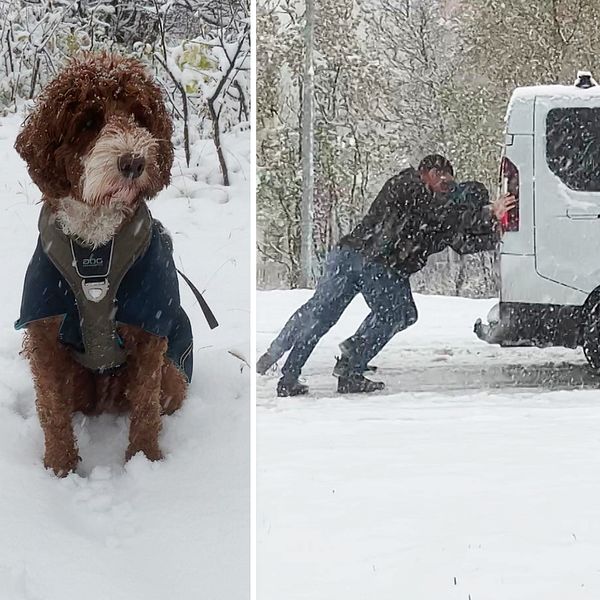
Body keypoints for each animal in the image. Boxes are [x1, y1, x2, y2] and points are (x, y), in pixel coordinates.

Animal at [15, 52, 189, 474]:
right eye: (89, 122)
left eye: (141, 117)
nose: (134, 162)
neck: (95, 246)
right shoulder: (43, 329)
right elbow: (51, 408)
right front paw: (59, 469)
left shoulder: (149, 327)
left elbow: (145, 406)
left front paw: (145, 461)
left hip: (174, 378)